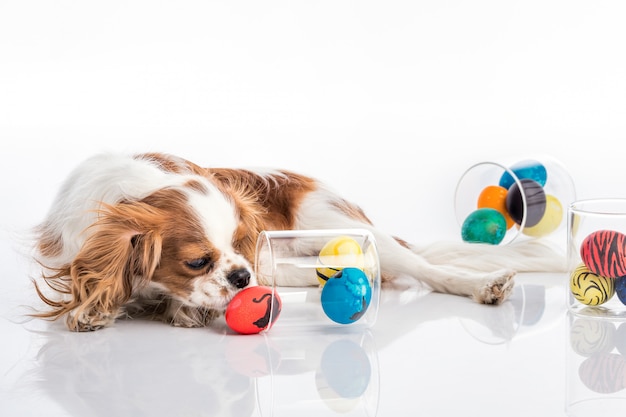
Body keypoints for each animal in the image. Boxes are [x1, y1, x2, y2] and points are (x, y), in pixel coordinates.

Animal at [31, 151, 564, 330]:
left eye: (240, 244)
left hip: (337, 221)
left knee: (424, 271)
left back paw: (483, 286)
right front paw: (93, 309)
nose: (242, 274)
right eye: (198, 261)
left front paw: (183, 310)